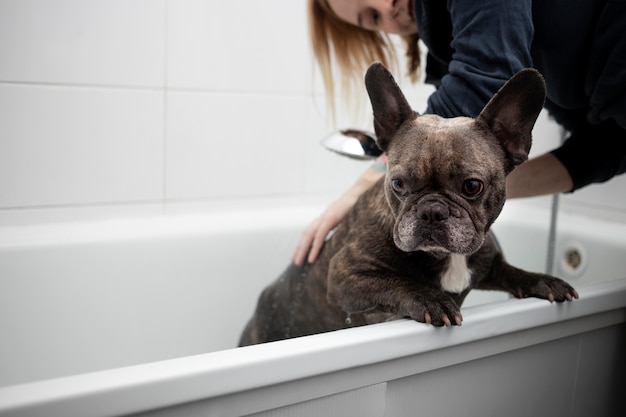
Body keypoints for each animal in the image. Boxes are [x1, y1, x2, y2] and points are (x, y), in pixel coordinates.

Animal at [238, 62, 576, 348]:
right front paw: (430, 299)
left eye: (472, 186)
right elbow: (394, 282)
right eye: (398, 184)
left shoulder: (487, 265)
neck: (446, 257)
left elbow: (513, 272)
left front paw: (545, 280)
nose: (432, 211)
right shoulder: (345, 274)